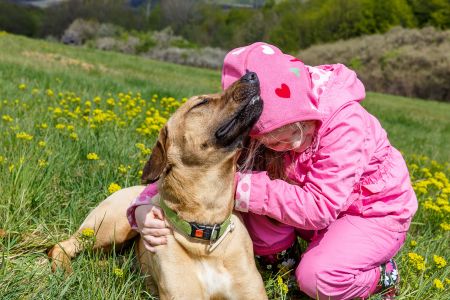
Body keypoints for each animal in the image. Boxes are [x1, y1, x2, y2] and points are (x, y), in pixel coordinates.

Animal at [48, 71, 268, 298]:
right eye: (201, 103)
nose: (252, 74)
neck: (206, 231)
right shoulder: (183, 293)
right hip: (111, 226)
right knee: (62, 246)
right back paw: (66, 271)